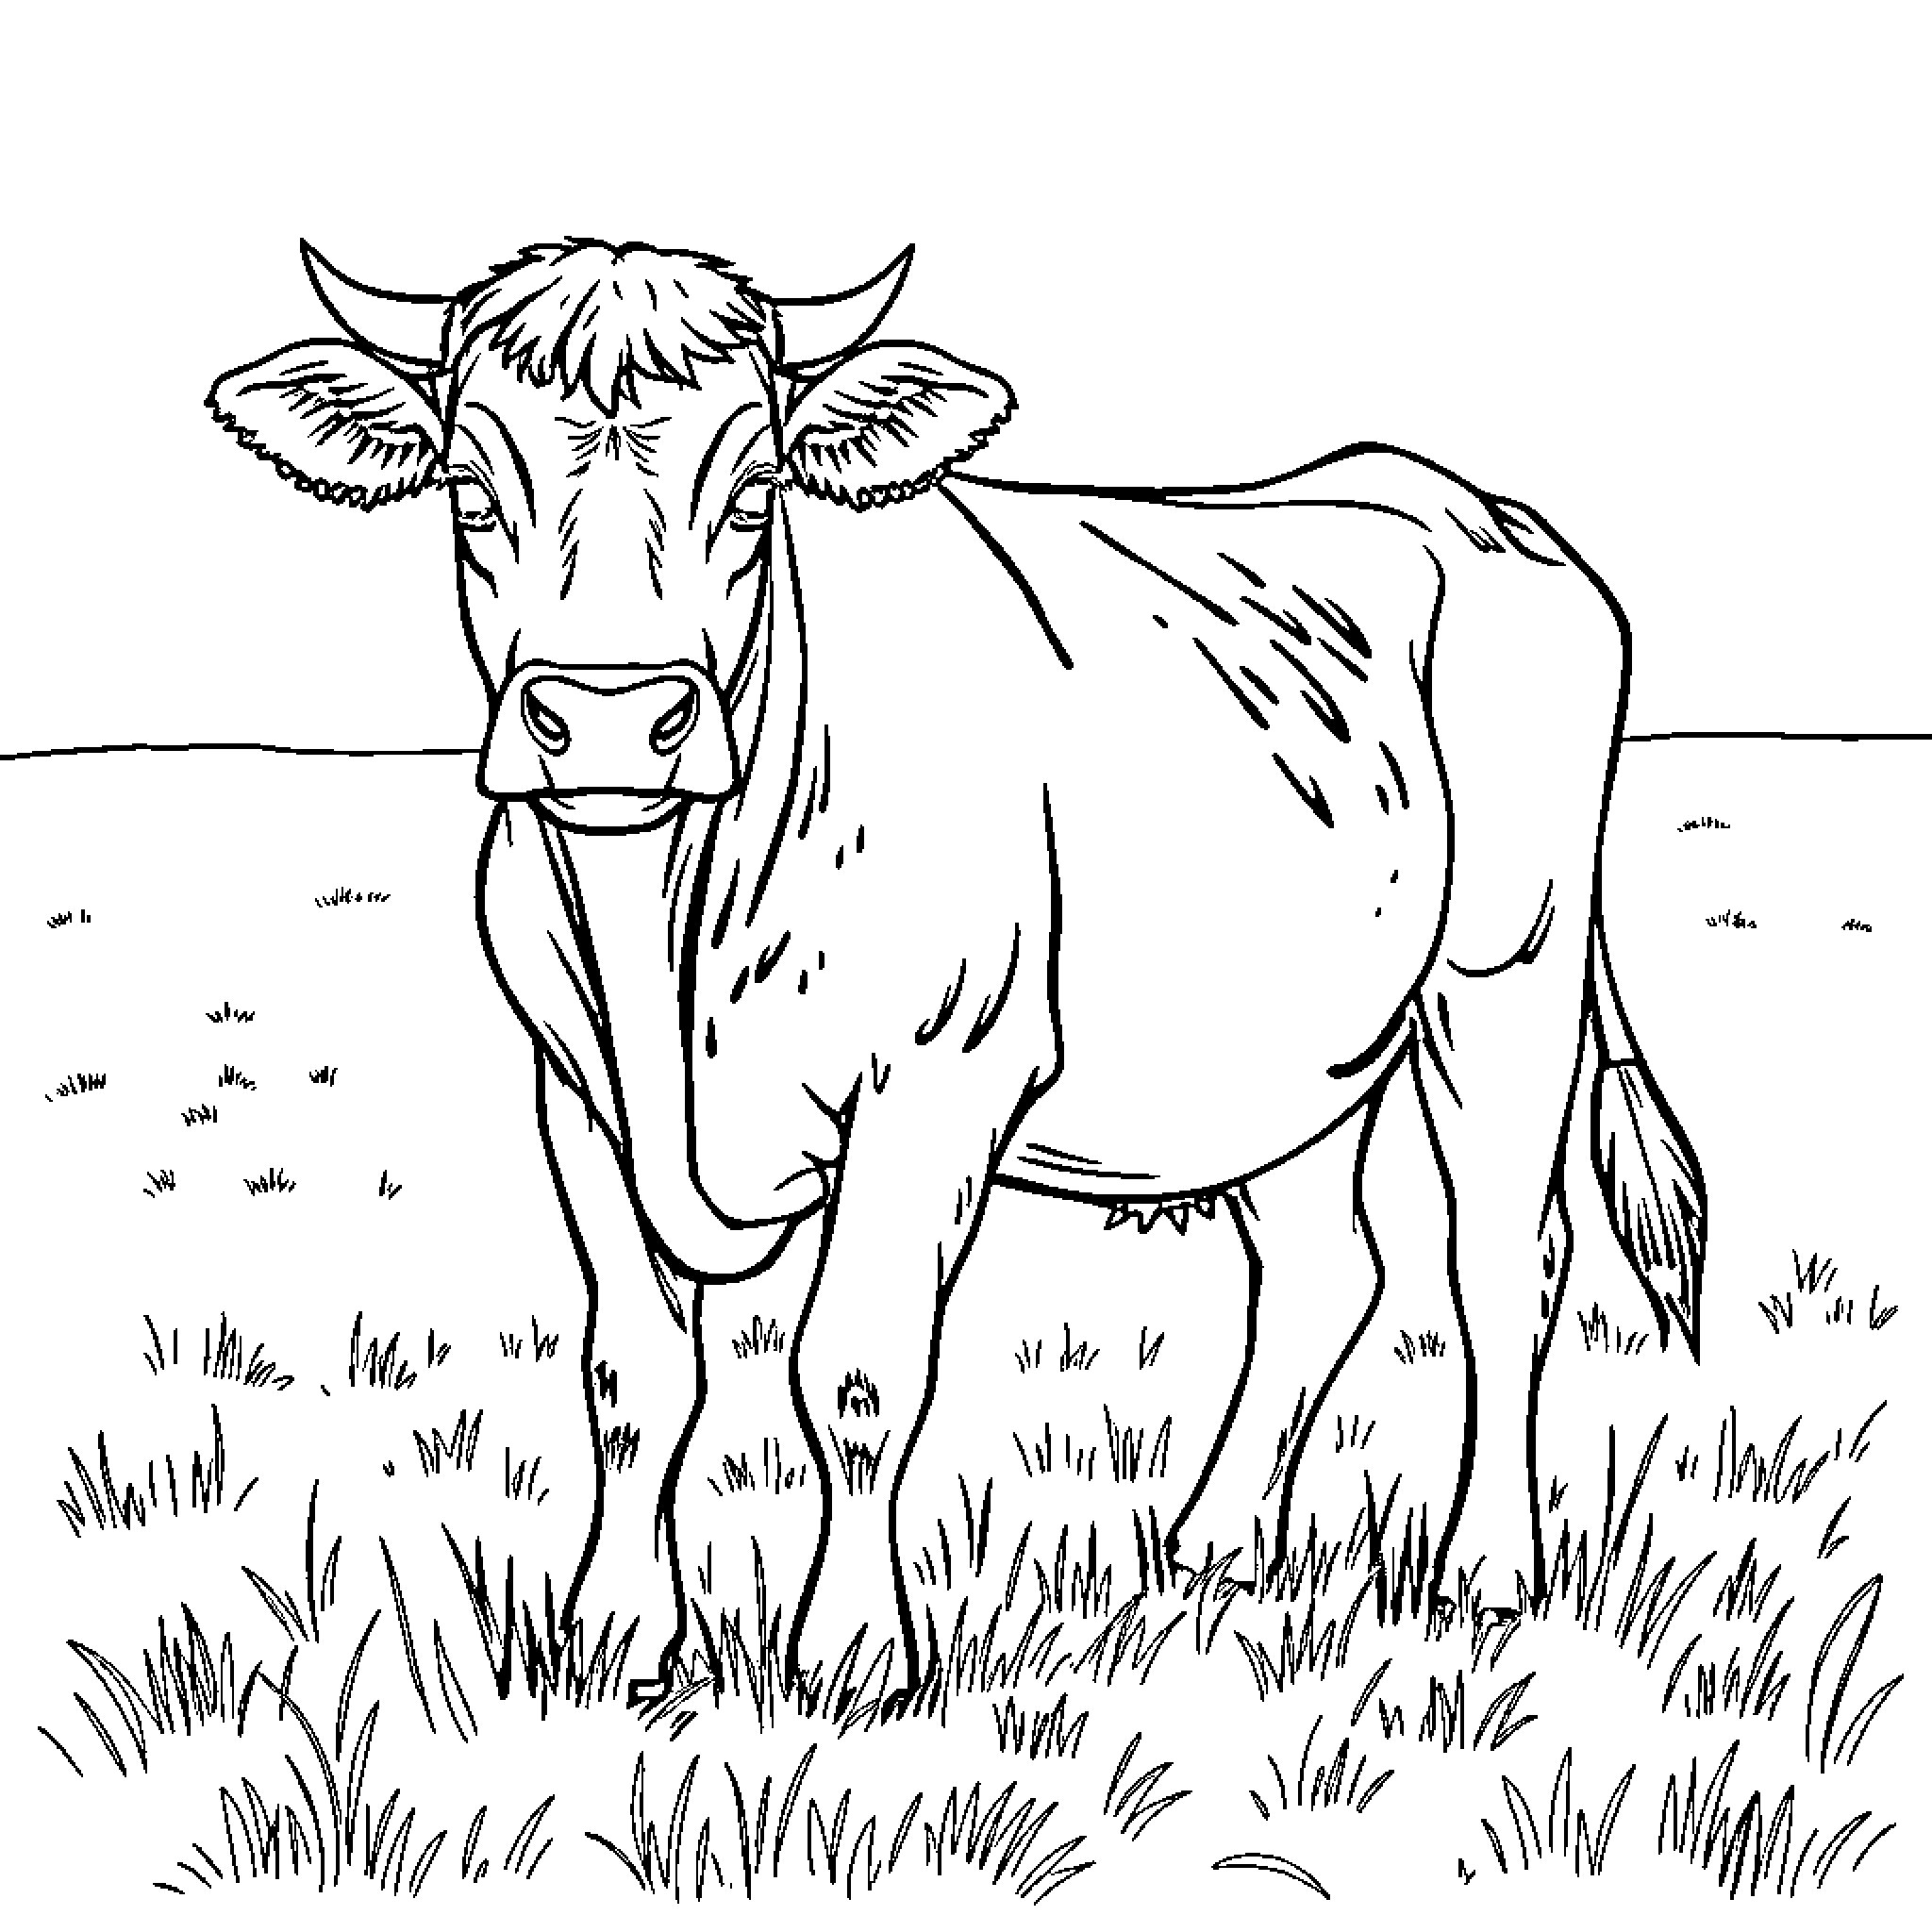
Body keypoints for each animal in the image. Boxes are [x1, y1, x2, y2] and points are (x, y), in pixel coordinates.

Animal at [207, 237, 1707, 1704]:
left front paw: (856, 1654)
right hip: (1292, 1053)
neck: (664, 940)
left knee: (1502, 1261)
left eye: (753, 490)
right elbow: (635, 1370)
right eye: (470, 488)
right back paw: (1215, 1546)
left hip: (1504, 968)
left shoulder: (932, 1086)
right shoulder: (573, 1094)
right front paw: (615, 1634)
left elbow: (857, 1371)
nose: (616, 719)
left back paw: (1486, 1570)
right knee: (1323, 1268)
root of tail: (1456, 501)